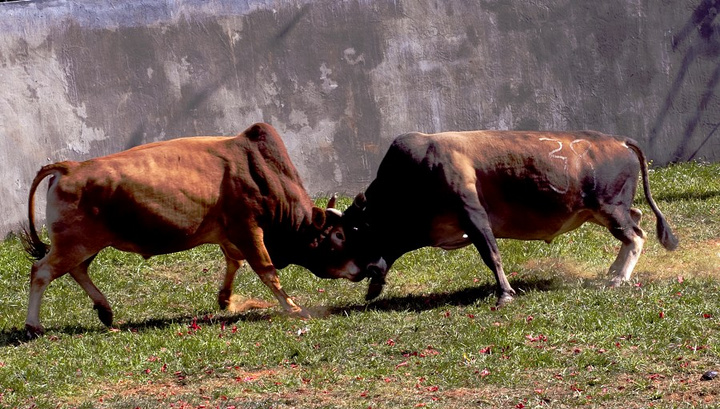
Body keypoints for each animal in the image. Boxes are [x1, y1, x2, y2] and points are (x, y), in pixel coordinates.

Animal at [22, 122, 360, 338]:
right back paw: (34, 325)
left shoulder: (229, 234)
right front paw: (292, 307)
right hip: (74, 243)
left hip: (87, 245)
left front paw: (226, 299)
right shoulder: (248, 228)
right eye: (338, 236)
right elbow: (267, 270)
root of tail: (69, 167)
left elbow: (234, 262)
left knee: (77, 271)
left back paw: (105, 311)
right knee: (41, 271)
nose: (359, 270)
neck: (260, 171)